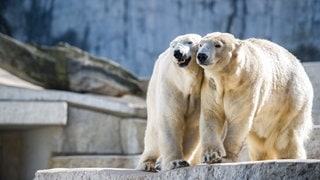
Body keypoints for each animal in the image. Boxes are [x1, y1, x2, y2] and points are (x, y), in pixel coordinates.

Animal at [136, 33, 202, 172]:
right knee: (153, 133)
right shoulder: (171, 85)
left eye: (189, 42)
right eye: (173, 45)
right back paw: (148, 163)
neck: (186, 82)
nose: (177, 52)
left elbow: (193, 124)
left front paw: (180, 160)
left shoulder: (198, 94)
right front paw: (175, 162)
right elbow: (170, 118)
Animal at [196, 32, 314, 163]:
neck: (227, 78)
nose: (201, 55)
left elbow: (239, 119)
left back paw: (290, 157)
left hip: (292, 102)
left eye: (217, 45)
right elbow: (212, 115)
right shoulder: (212, 86)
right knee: (258, 145)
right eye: (200, 44)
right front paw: (210, 156)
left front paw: (226, 157)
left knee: (285, 139)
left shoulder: (245, 85)